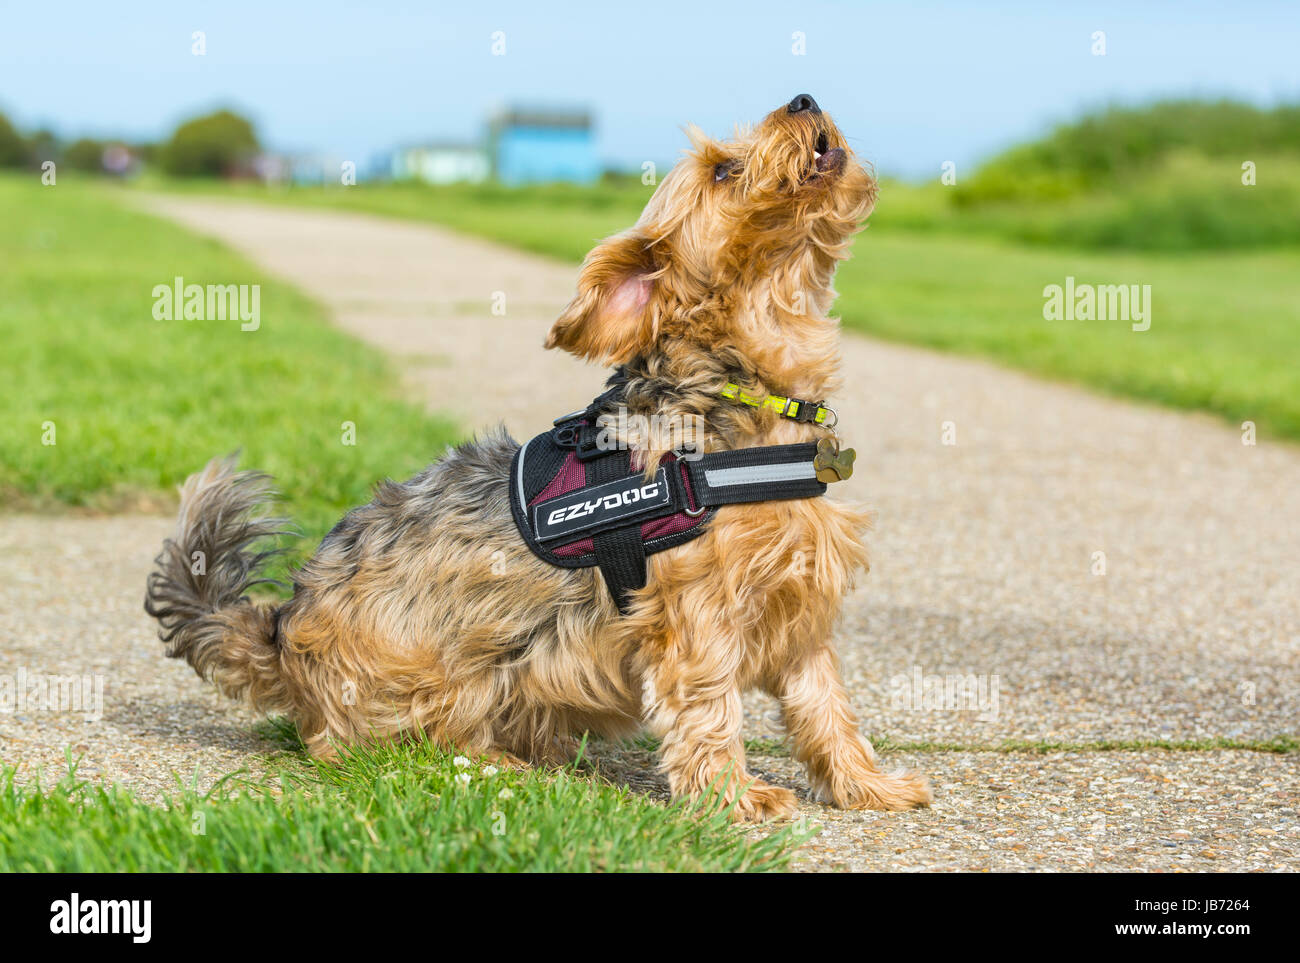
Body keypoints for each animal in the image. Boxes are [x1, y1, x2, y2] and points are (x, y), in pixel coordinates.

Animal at [144, 95, 935, 821]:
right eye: (722, 169)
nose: (804, 99)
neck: (742, 389)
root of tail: (282, 634)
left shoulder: (801, 607)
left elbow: (826, 707)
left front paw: (868, 785)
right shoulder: (696, 615)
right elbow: (710, 709)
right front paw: (736, 797)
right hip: (440, 674)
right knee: (388, 746)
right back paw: (500, 762)